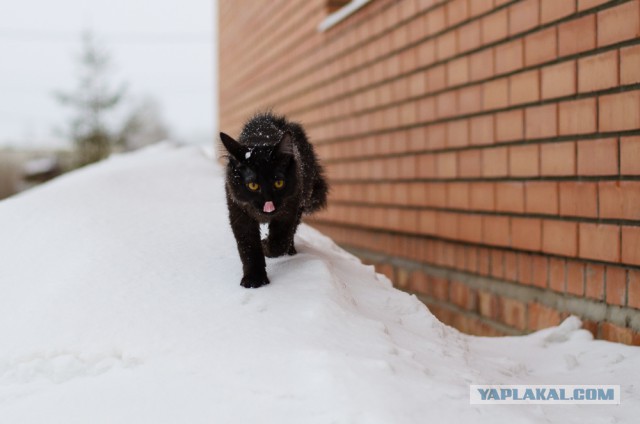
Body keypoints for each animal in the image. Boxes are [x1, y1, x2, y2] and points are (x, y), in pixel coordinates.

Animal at [221, 112, 330, 288]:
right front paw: (254, 279)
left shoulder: (289, 209)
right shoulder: (239, 213)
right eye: (253, 185)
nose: (269, 204)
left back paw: (290, 251)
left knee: (290, 236)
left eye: (278, 183)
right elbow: (249, 248)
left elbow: (279, 241)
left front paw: (266, 246)